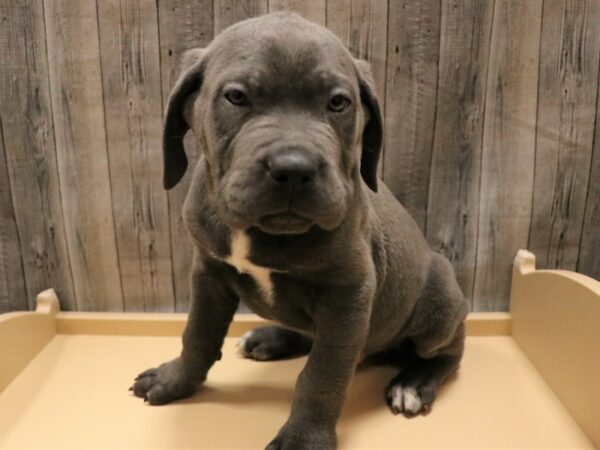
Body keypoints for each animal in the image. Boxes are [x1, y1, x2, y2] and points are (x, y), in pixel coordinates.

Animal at [131, 11, 468, 450]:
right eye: (236, 97)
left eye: (338, 103)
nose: (293, 168)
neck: (265, 232)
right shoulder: (208, 274)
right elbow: (198, 334)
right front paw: (175, 380)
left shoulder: (348, 295)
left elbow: (322, 374)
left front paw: (304, 438)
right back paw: (271, 339)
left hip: (439, 301)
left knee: (448, 350)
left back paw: (413, 382)